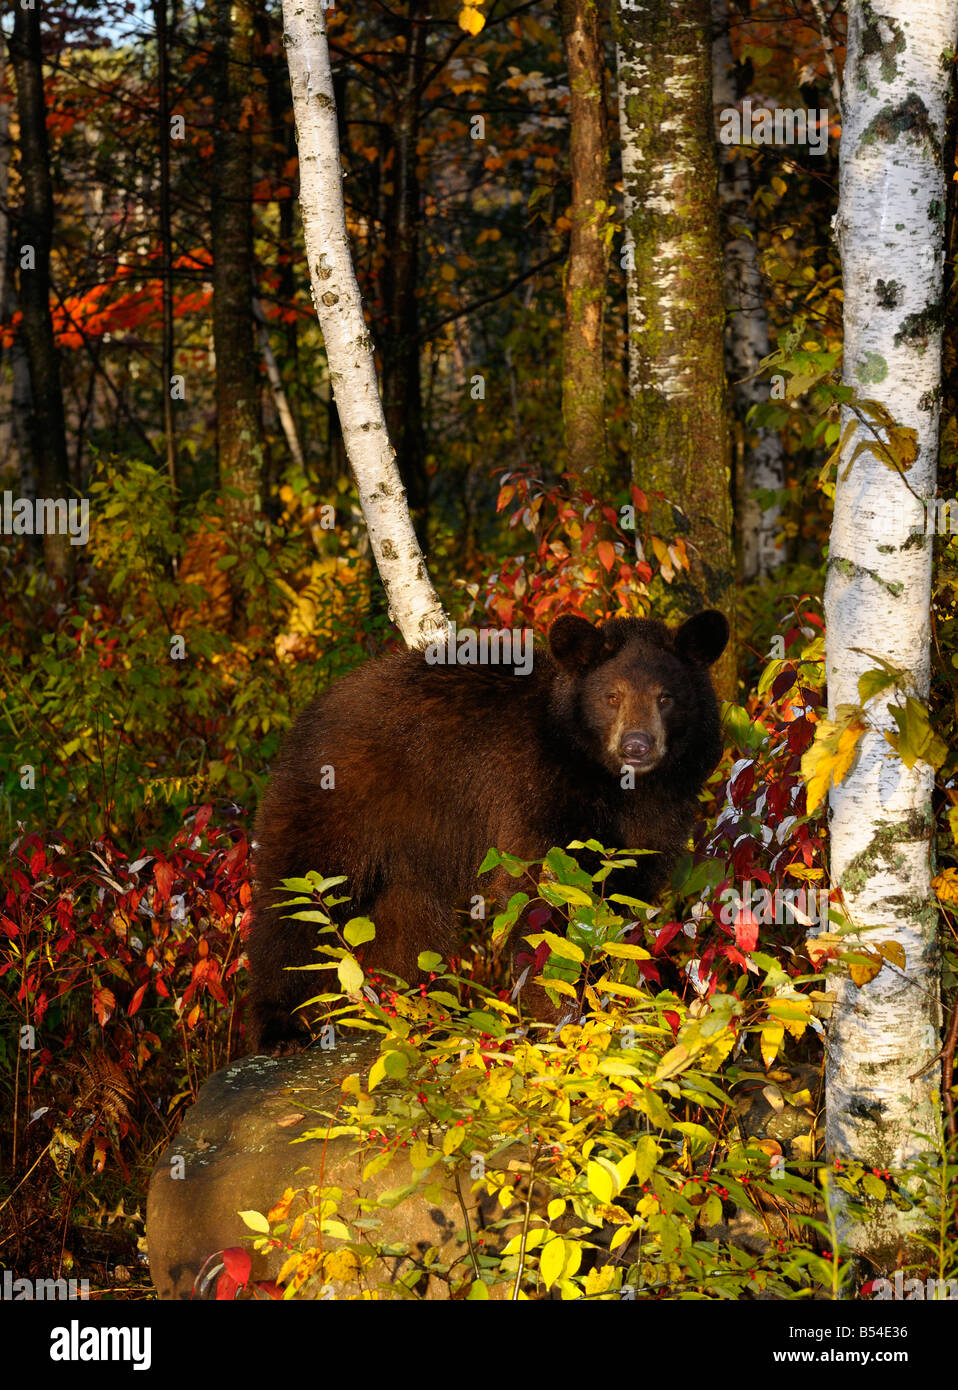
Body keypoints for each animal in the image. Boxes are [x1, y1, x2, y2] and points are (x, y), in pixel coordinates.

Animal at [244, 608, 723, 1050]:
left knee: (409, 922)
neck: (609, 781)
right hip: (337, 802)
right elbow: (544, 897)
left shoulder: (654, 822)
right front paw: (561, 1013)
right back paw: (279, 1025)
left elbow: (624, 900)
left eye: (666, 698)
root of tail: (311, 711)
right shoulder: (538, 793)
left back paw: (415, 1008)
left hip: (409, 847)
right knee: (295, 897)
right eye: (611, 696)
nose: (636, 745)